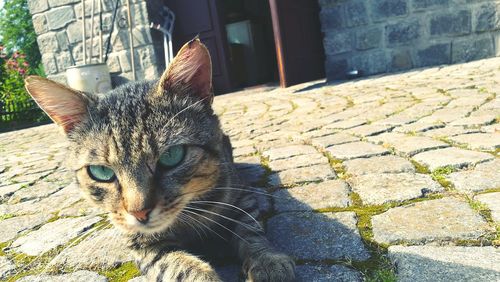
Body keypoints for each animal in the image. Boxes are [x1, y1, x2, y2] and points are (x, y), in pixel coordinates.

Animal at [25, 39, 294, 282]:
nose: (140, 213)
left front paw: (268, 261)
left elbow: (251, 231)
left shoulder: (241, 197)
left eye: (172, 156)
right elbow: (180, 268)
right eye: (101, 172)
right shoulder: (142, 246)